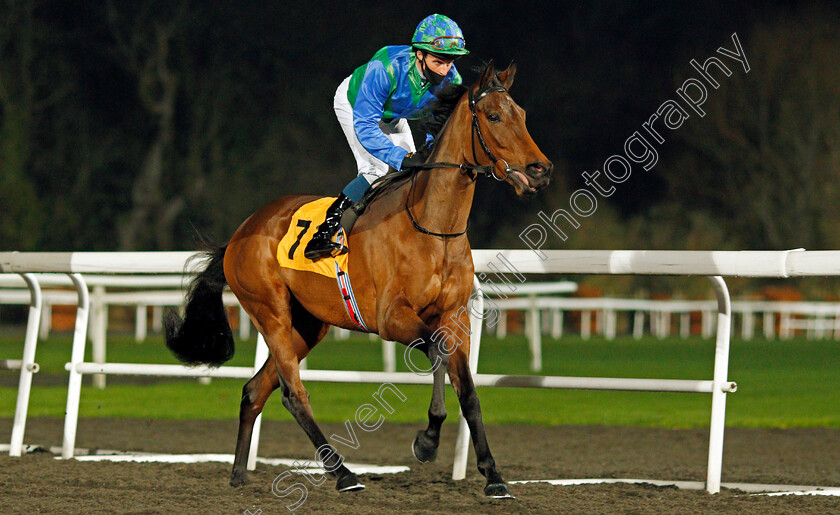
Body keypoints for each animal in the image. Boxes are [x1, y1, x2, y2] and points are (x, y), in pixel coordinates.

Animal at [167, 61, 556, 500]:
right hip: (271, 312)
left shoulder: (455, 317)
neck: (433, 228)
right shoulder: (391, 318)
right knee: (293, 393)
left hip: (308, 325)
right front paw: (427, 440)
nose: (540, 170)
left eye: (521, 114)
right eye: (493, 116)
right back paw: (343, 474)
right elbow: (436, 353)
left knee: (255, 390)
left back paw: (238, 474)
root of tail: (240, 232)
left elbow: (469, 391)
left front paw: (493, 476)